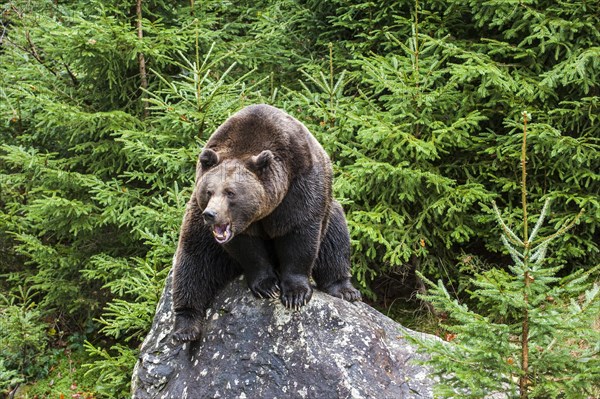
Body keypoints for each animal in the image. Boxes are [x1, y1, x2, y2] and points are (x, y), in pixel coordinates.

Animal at [173, 104, 360, 342]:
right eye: (209, 191)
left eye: (230, 192)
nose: (211, 214)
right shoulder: (240, 227)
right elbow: (248, 250)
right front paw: (267, 286)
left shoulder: (299, 186)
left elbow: (300, 235)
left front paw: (295, 294)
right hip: (197, 225)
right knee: (193, 262)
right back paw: (185, 327)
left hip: (330, 208)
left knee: (335, 241)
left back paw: (345, 290)